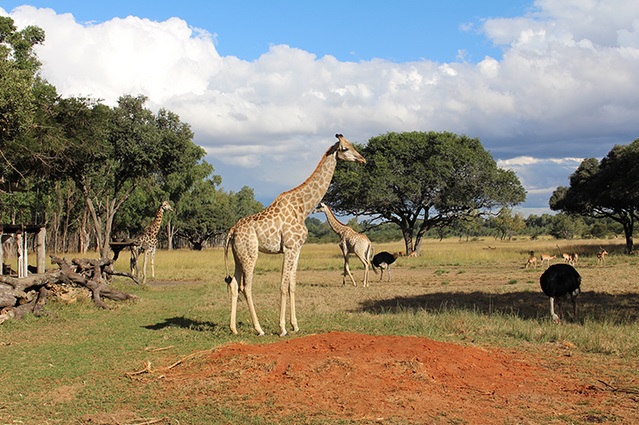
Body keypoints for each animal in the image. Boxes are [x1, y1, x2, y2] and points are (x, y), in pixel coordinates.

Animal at [224, 132, 364, 334]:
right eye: (345, 148)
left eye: (352, 144)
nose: (362, 159)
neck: (303, 207)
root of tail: (232, 231)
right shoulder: (289, 247)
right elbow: (283, 285)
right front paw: (282, 328)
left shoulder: (297, 249)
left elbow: (292, 285)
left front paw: (295, 325)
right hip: (250, 254)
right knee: (246, 286)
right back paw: (259, 329)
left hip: (238, 255)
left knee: (234, 284)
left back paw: (234, 328)